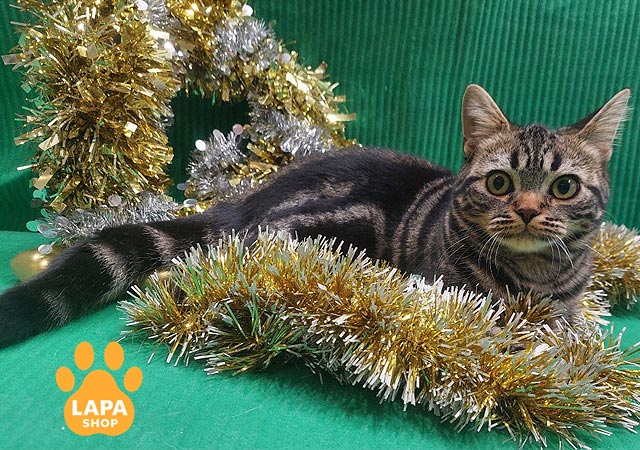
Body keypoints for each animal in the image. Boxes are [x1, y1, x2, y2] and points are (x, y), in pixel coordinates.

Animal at [0, 84, 630, 347]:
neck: (537, 279)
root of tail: (243, 202)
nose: (526, 210)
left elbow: (572, 321)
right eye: (500, 183)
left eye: (564, 187)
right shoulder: (452, 291)